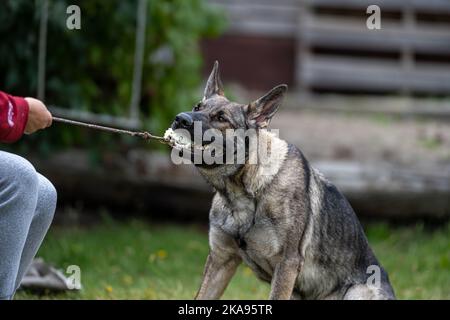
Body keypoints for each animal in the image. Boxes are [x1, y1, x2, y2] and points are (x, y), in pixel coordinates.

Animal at [171, 61, 396, 298]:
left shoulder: (287, 263)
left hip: (357, 291)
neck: (245, 192)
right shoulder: (221, 261)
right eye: (197, 107)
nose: (180, 119)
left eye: (221, 118)